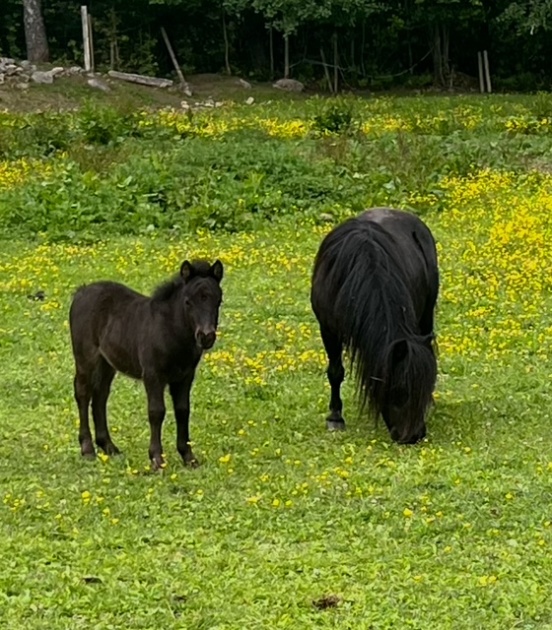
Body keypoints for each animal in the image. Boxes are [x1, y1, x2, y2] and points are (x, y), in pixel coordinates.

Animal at [69, 259, 224, 469]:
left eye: (218, 301)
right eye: (188, 302)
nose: (206, 336)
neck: (171, 332)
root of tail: (81, 292)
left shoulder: (185, 377)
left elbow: (183, 410)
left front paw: (188, 457)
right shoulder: (153, 375)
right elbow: (156, 412)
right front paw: (157, 459)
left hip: (106, 363)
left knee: (100, 396)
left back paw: (109, 447)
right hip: (86, 358)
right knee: (83, 394)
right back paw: (87, 449)